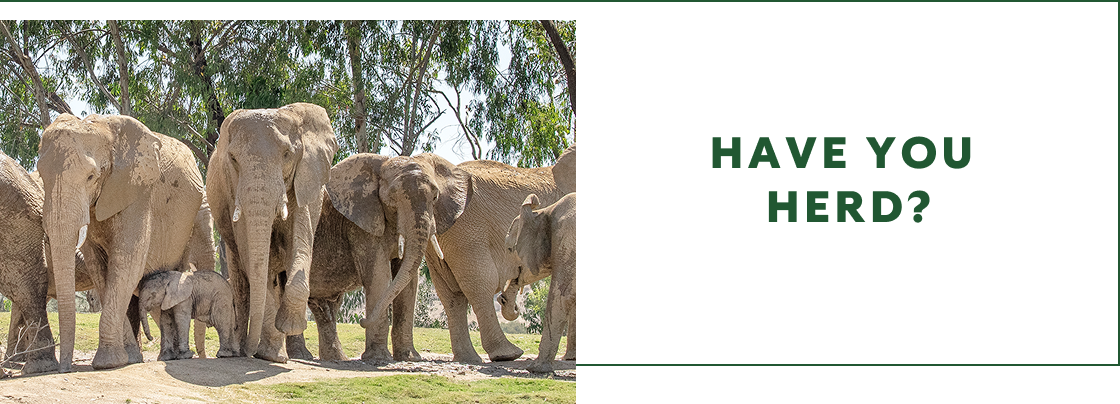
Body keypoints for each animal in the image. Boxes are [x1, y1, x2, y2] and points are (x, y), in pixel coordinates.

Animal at [37, 113, 211, 371]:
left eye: (91, 177)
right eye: (41, 176)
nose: (65, 368)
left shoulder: (138, 191)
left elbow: (126, 263)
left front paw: (108, 363)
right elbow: (100, 269)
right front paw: (128, 358)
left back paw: (184, 357)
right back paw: (168, 356)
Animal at [206, 102, 339, 362]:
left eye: (287, 155)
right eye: (233, 159)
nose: (249, 352)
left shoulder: (302, 181)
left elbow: (300, 245)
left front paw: (287, 327)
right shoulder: (233, 190)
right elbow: (252, 260)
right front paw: (268, 355)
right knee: (241, 279)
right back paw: (238, 351)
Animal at [503, 193, 577, 373]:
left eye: (509, 249)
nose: (515, 307)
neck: (546, 210)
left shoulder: (566, 237)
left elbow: (562, 297)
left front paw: (535, 369)